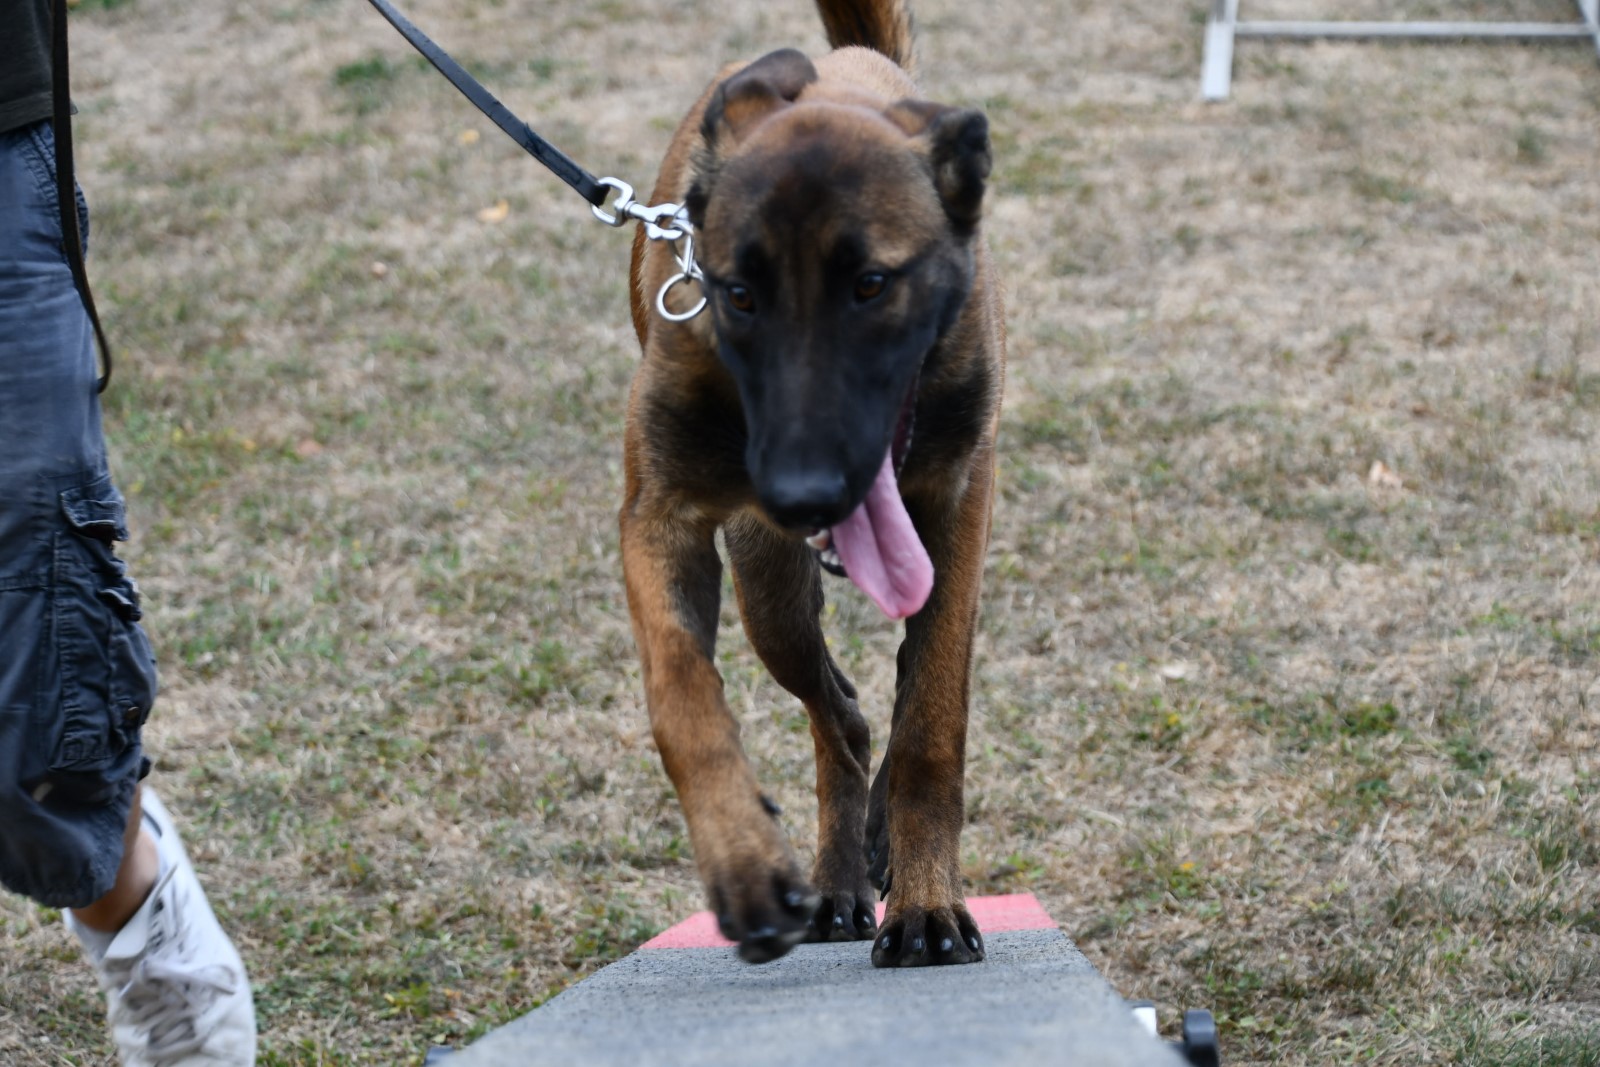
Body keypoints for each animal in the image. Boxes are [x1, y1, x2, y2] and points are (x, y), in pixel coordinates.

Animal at [621, 0, 1003, 967]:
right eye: (737, 294)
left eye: (870, 284)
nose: (801, 494)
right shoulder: (660, 519)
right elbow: (679, 691)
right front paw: (744, 860)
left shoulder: (959, 505)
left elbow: (934, 717)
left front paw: (928, 900)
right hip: (772, 594)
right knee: (841, 717)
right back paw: (836, 879)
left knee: (897, 695)